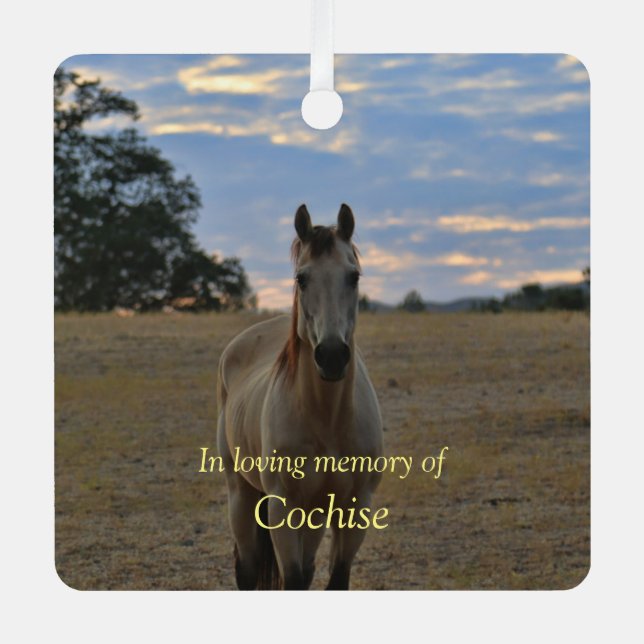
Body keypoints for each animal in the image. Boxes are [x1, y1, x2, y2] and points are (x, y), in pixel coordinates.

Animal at [216, 203, 384, 590]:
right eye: (302, 278)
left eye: (353, 276)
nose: (332, 355)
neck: (328, 418)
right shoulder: (284, 507)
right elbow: (291, 579)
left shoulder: (354, 508)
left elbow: (333, 580)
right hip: (242, 493)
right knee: (247, 570)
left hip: (315, 513)